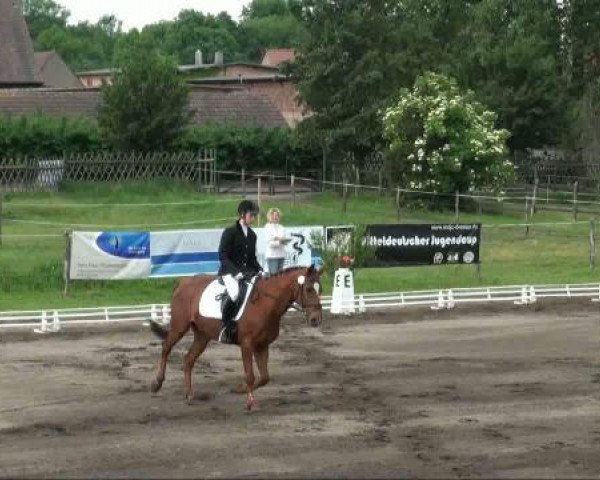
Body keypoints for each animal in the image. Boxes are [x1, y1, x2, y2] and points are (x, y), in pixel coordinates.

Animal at [147, 266, 322, 408]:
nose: (316, 319)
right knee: (166, 348)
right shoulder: (247, 344)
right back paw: (157, 384)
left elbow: (264, 378)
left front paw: (239, 389)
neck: (265, 304)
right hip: (179, 326)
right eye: (308, 289)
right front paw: (250, 403)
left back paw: (189, 394)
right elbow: (250, 376)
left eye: (320, 290)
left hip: (202, 336)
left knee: (188, 359)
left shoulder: (262, 345)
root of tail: (184, 281)